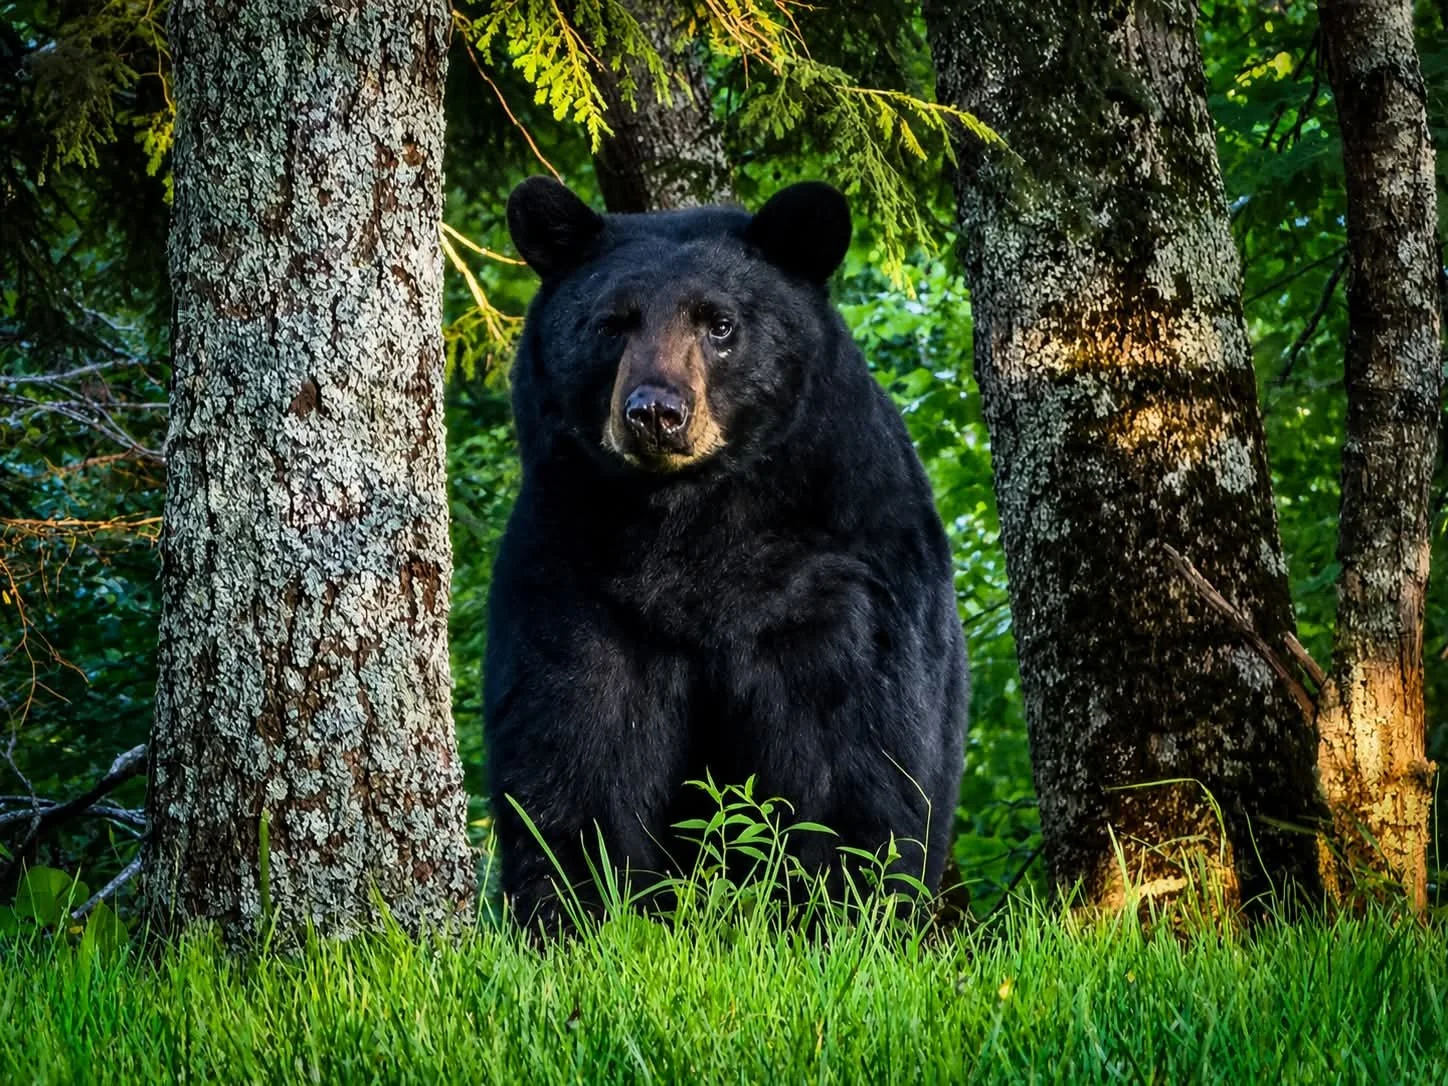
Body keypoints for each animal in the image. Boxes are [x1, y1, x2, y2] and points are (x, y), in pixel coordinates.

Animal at [484, 176, 968, 933]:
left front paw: (839, 919)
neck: (690, 522)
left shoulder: (840, 578)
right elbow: (574, 752)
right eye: (612, 323)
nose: (655, 412)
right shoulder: (575, 574)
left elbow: (848, 758)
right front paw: (577, 917)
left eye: (720, 325)